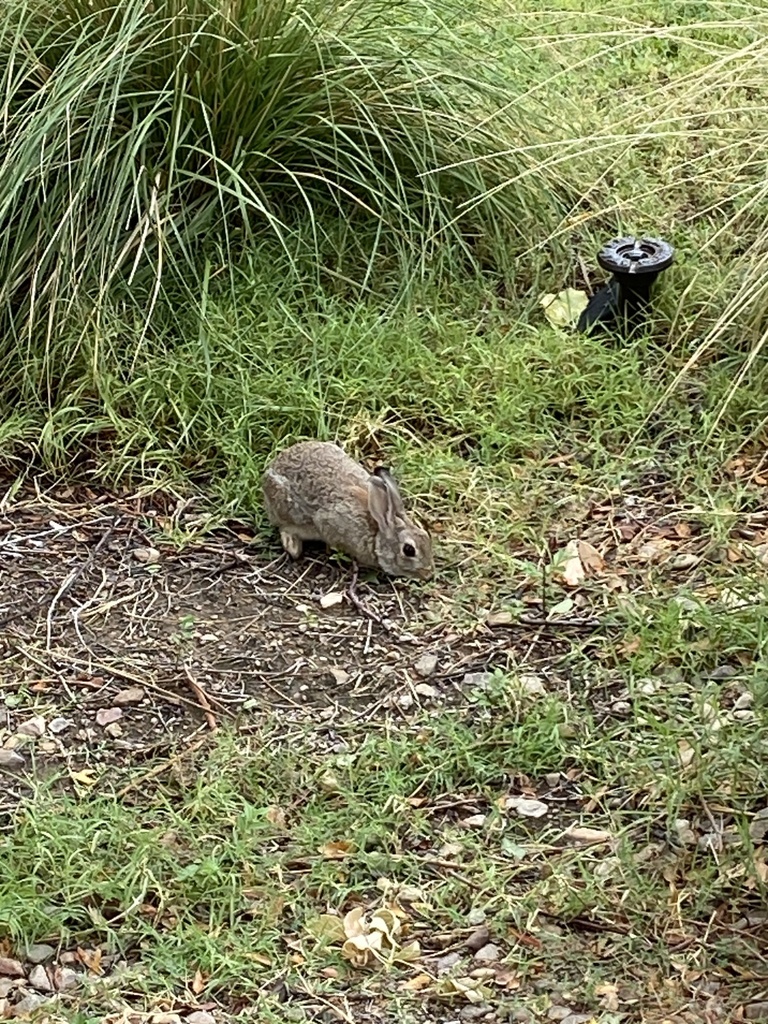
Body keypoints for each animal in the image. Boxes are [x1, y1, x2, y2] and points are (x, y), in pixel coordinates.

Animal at [262, 441, 434, 579]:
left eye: (427, 536)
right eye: (409, 550)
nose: (428, 574)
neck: (377, 530)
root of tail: (273, 464)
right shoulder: (328, 522)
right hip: (284, 506)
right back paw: (293, 546)